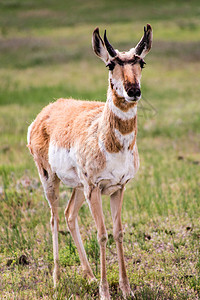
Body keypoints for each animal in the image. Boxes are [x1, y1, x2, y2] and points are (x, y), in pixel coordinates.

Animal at [27, 24, 153, 298]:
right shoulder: (95, 188)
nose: (133, 91)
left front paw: (127, 290)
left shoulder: (118, 188)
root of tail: (45, 112)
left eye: (141, 62)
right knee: (54, 218)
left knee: (69, 215)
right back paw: (57, 280)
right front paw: (105, 291)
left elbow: (118, 233)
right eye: (110, 64)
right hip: (50, 180)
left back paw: (89, 275)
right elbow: (102, 234)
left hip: (77, 187)